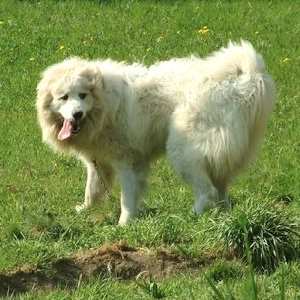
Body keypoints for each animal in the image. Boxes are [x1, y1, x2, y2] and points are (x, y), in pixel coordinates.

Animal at [36, 41, 276, 225]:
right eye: (64, 97)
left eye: (82, 95)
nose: (76, 114)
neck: (103, 104)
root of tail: (239, 79)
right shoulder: (100, 162)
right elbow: (92, 191)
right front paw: (85, 210)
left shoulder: (127, 161)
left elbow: (127, 196)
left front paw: (124, 224)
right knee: (221, 191)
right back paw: (223, 215)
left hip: (183, 152)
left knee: (206, 191)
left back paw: (192, 216)